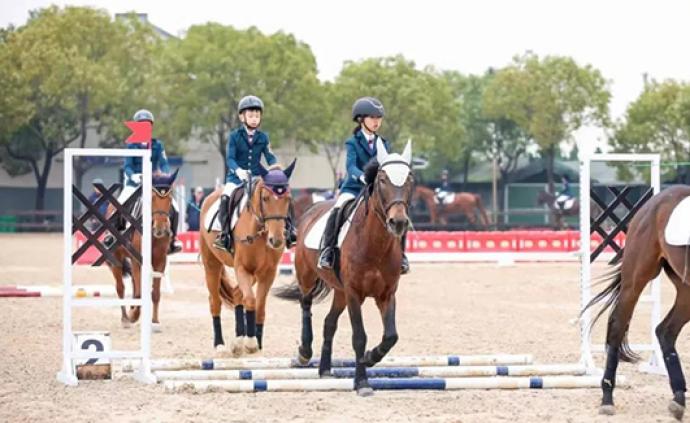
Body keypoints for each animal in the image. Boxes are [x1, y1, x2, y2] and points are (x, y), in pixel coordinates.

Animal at [107, 171, 177, 332]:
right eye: (152, 198)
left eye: (170, 199)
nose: (160, 229)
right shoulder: (136, 259)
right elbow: (139, 292)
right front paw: (133, 316)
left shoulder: (160, 260)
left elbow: (155, 293)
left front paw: (155, 322)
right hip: (116, 258)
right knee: (121, 288)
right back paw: (125, 319)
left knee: (133, 283)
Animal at [198, 162, 296, 358]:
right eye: (265, 198)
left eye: (288, 199)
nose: (276, 240)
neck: (260, 231)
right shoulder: (242, 268)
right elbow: (250, 300)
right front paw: (250, 342)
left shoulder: (267, 273)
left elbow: (259, 306)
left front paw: (255, 340)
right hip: (212, 264)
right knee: (215, 302)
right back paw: (220, 345)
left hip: (253, 274)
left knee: (237, 293)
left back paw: (237, 341)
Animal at [272, 140, 414, 398]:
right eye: (382, 180)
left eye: (409, 179)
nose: (398, 222)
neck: (375, 244)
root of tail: (311, 210)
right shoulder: (354, 294)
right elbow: (359, 337)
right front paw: (362, 383)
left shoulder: (386, 294)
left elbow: (391, 336)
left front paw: (370, 358)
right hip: (308, 277)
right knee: (306, 306)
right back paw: (304, 352)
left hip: (340, 292)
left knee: (329, 323)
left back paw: (325, 370)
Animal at [584, 186, 690, 420]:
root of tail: (654, 202)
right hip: (635, 278)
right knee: (617, 326)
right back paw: (607, 398)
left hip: (686, 289)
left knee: (666, 331)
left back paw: (678, 398)